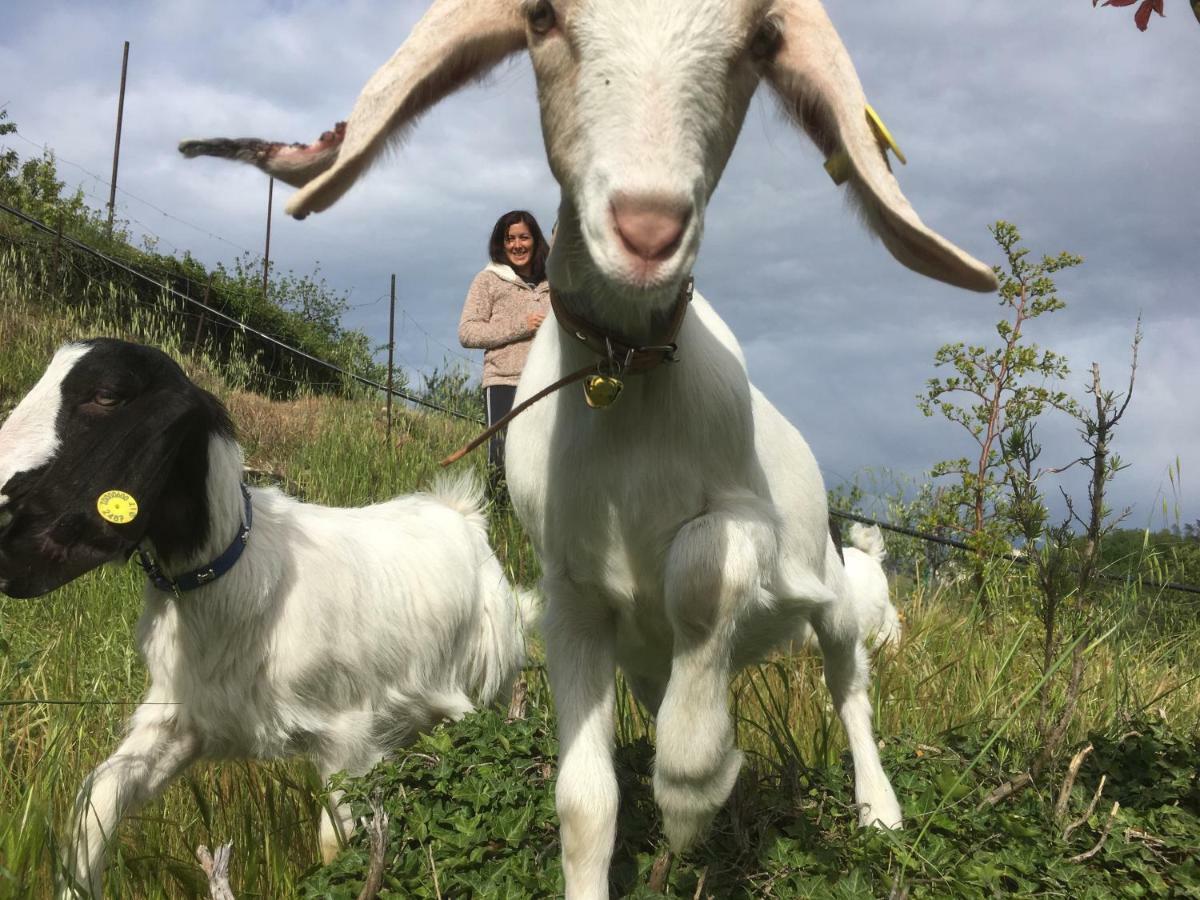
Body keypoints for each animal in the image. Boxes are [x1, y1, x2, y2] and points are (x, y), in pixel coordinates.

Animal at [0, 340, 535, 897]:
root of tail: (461, 512)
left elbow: (338, 843)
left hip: (491, 686)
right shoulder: (181, 719)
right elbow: (95, 802)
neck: (238, 578)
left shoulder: (348, 738)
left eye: (107, 395)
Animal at [180, 0, 993, 897]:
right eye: (541, 18)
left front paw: (693, 782)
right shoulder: (572, 597)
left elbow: (702, 573)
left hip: (834, 589)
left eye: (760, 41)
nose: (648, 228)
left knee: (850, 689)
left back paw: (878, 809)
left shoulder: (746, 522)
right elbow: (585, 799)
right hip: (650, 652)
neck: (621, 383)